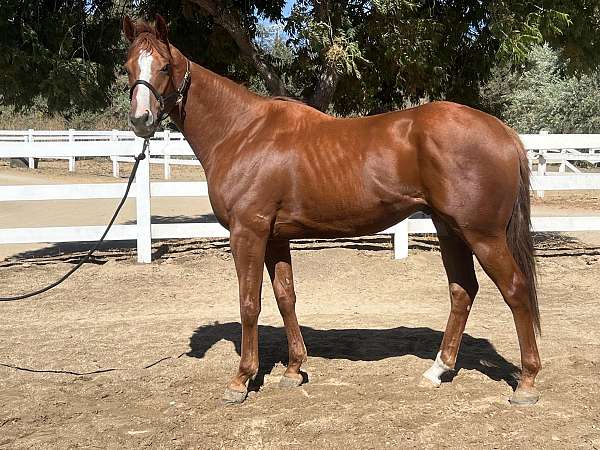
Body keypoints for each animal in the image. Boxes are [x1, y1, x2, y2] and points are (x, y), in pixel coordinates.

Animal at [123, 15, 544, 406]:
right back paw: (438, 369)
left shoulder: (248, 233)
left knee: (515, 289)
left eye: (164, 66)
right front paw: (294, 369)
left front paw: (241, 380)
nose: (141, 121)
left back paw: (526, 383)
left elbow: (249, 303)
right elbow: (285, 296)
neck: (242, 132)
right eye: (128, 66)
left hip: (482, 234)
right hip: (450, 228)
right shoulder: (275, 237)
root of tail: (504, 132)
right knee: (463, 291)